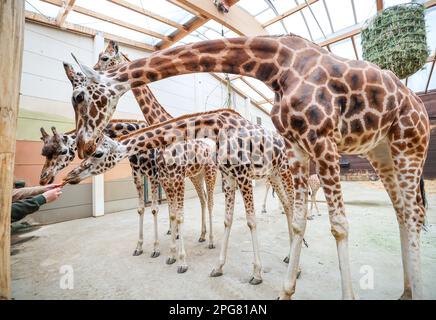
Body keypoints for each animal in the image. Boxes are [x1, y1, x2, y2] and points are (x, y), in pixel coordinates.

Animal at [64, 109, 296, 284]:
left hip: (282, 171)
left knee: (291, 207)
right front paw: (216, 266)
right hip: (268, 174)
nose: (70, 176)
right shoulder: (228, 178)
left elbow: (250, 221)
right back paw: (288, 257)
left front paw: (256, 273)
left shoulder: (242, 176)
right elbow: (224, 220)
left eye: (98, 153)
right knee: (285, 206)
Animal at [93, 42, 220, 242]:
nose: (94, 69)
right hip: (196, 174)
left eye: (105, 58)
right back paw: (202, 234)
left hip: (209, 172)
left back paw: (211, 239)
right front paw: (172, 236)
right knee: (203, 198)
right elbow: (170, 209)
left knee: (211, 200)